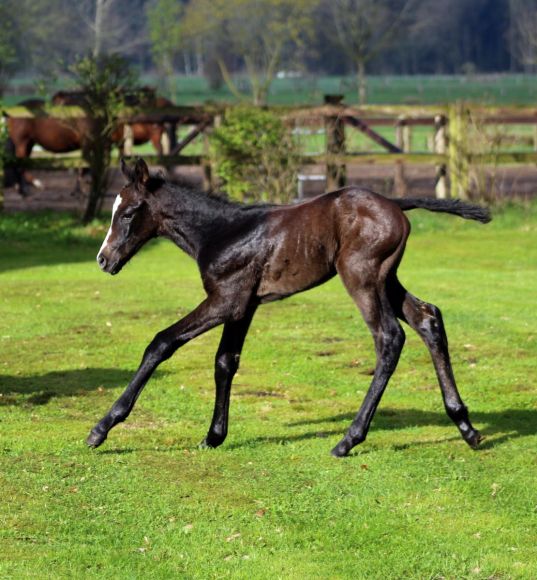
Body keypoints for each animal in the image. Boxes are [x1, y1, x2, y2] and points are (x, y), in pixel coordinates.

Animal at [89, 159, 490, 458]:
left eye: (128, 213)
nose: (103, 260)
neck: (221, 232)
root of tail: (395, 203)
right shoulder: (243, 306)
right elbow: (225, 362)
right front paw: (214, 435)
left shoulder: (225, 300)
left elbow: (161, 342)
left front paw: (101, 428)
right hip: (386, 279)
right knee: (428, 318)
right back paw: (466, 426)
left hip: (361, 275)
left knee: (389, 337)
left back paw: (349, 439)